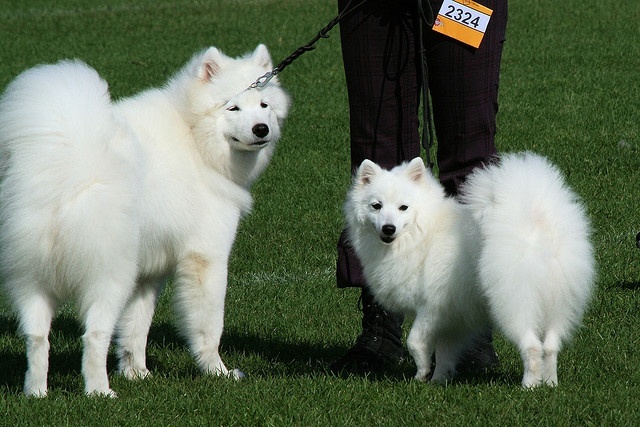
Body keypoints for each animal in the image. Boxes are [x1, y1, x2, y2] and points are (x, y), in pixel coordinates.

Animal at [0, 44, 290, 398]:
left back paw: (37, 392)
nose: (261, 129)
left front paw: (137, 374)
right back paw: (100, 392)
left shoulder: (148, 274)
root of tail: (67, 166)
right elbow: (209, 327)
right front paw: (218, 372)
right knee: (94, 336)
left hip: (32, 279)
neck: (193, 137)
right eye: (232, 107)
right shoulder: (207, 258)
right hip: (109, 276)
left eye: (264, 105)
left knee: (37, 337)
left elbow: (136, 328)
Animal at [344, 155, 596, 388]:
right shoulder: (451, 318)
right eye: (376, 206)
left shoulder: (431, 307)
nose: (388, 228)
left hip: (513, 304)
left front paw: (421, 375)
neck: (422, 234)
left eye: (403, 207)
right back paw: (550, 383)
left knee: (533, 346)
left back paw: (529, 386)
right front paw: (439, 380)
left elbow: (414, 341)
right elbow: (444, 353)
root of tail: (537, 223)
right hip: (558, 304)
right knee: (551, 346)